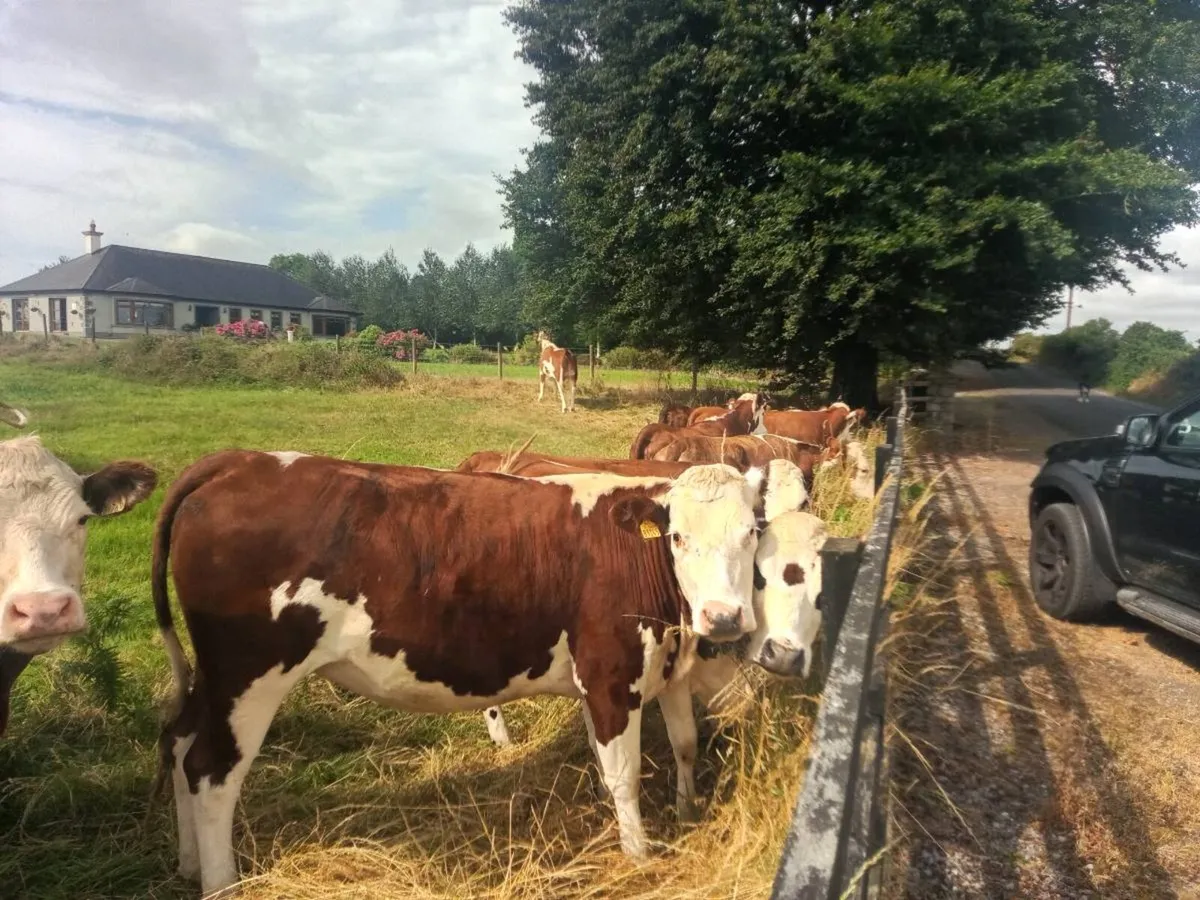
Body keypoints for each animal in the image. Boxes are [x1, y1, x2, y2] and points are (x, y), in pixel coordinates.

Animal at [152, 453, 771, 895]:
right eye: (678, 537)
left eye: (751, 533)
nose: (724, 617)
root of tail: (241, 461)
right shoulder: (610, 678)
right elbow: (624, 774)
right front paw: (639, 855)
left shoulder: (664, 670)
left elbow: (684, 744)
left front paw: (688, 814)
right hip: (248, 676)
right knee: (211, 772)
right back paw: (222, 884)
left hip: (214, 680)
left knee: (179, 746)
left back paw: (186, 864)